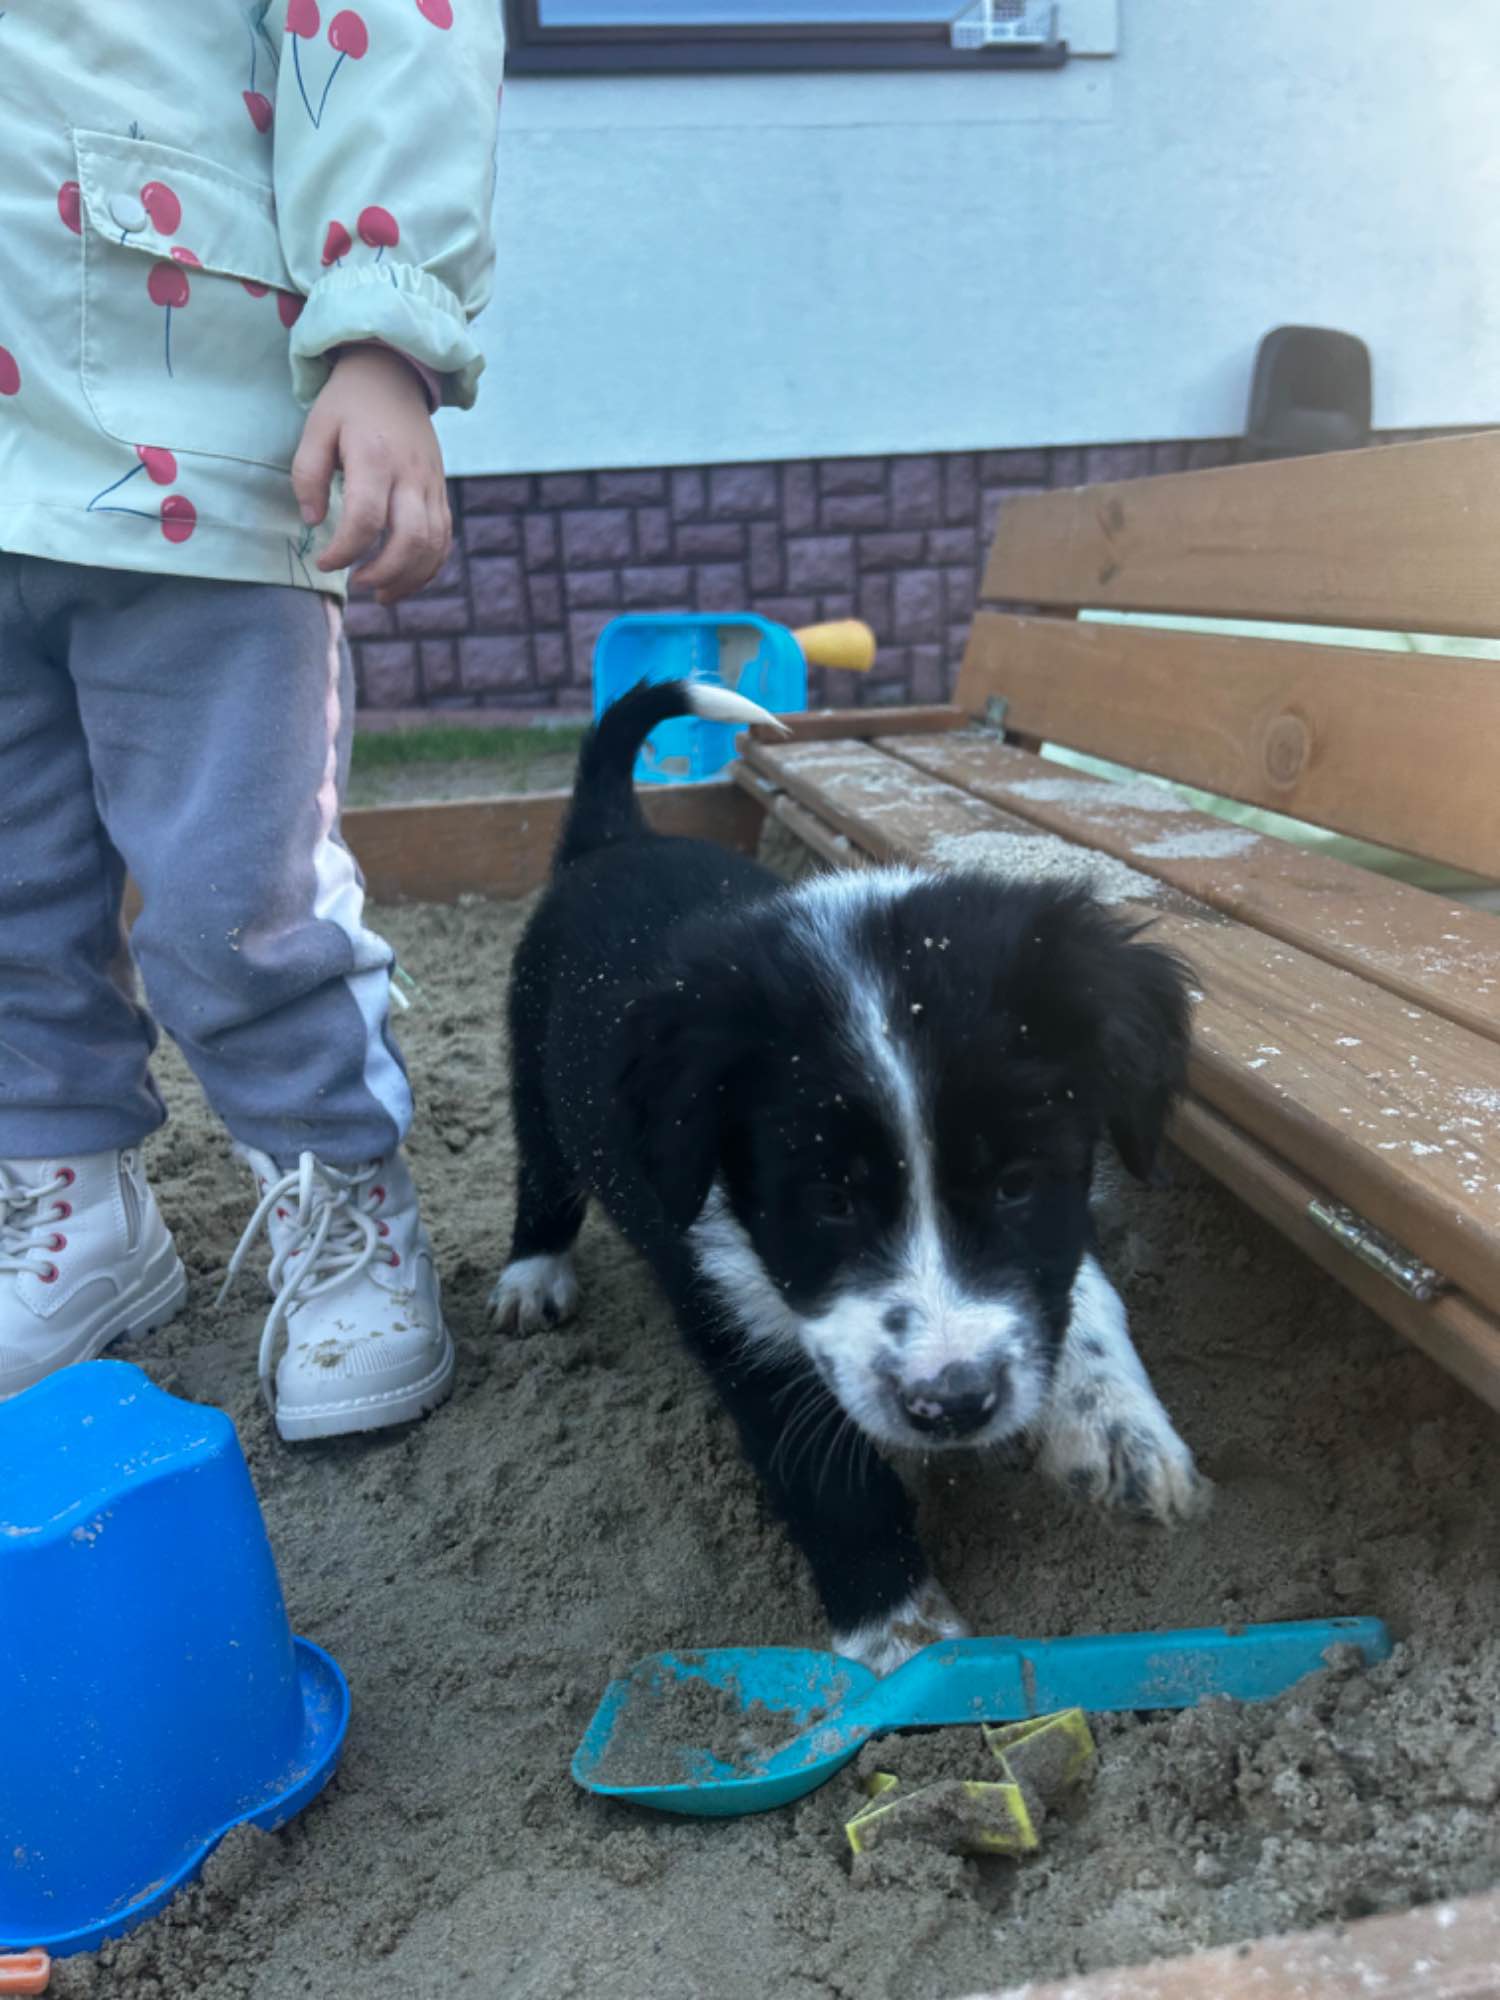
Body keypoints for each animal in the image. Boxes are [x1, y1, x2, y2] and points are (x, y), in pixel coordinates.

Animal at [494, 688, 1208, 1672]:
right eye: (829, 1202)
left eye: (1018, 1183)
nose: (954, 1405)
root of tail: (611, 838)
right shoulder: (732, 1315)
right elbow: (831, 1481)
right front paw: (903, 1637)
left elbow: (1080, 1289)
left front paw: (1116, 1428)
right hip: (534, 1070)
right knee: (541, 1173)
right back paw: (532, 1275)